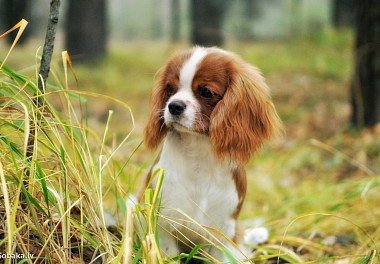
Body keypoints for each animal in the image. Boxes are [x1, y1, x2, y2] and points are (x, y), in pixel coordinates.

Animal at [141, 47, 280, 262]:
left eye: (206, 92)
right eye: (170, 88)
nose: (174, 106)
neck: (198, 152)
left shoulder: (222, 232)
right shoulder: (164, 223)